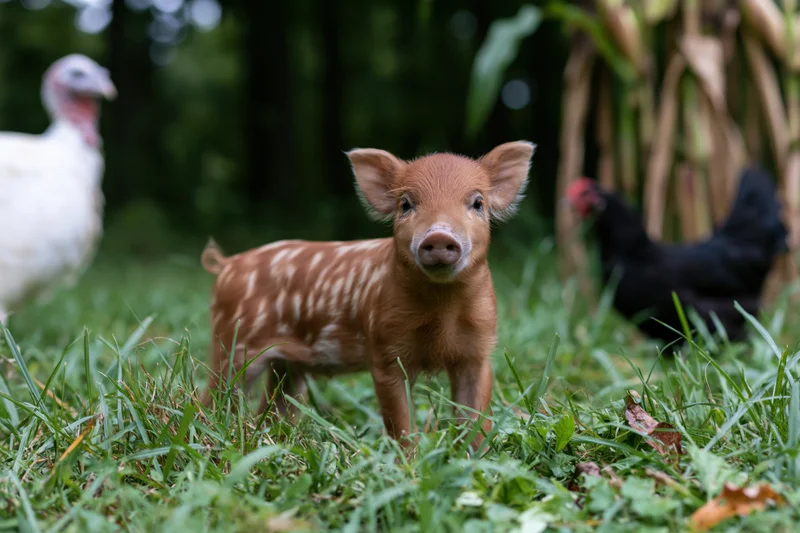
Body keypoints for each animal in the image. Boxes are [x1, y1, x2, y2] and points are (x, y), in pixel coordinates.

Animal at [200, 141, 536, 449]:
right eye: (405, 204)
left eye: (477, 203)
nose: (439, 235)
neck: (442, 311)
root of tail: (227, 265)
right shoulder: (385, 349)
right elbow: (401, 424)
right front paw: (409, 464)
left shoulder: (479, 351)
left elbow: (475, 420)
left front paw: (476, 459)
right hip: (232, 344)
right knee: (212, 397)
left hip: (286, 366)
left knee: (272, 408)